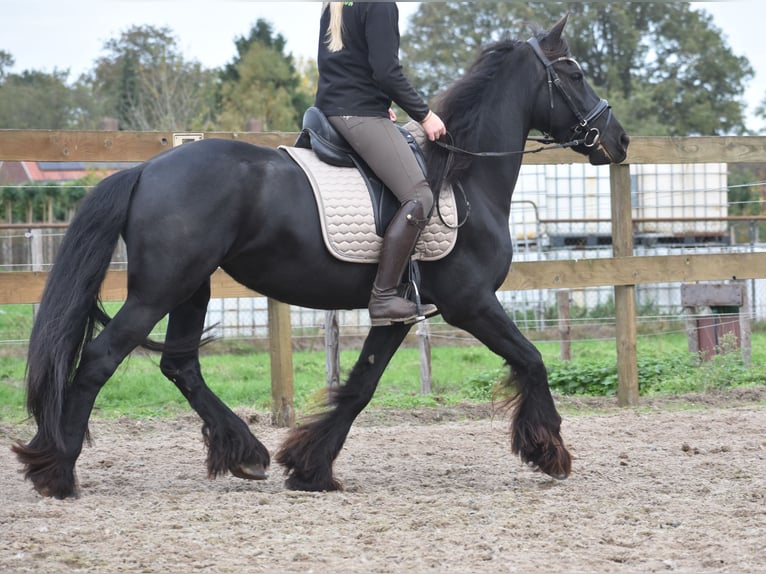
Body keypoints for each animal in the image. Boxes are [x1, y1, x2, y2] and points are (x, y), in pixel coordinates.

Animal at [13, 16, 629, 498]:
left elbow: (360, 386)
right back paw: (57, 471)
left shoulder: (398, 312)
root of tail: (145, 170)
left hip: (192, 287)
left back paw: (246, 453)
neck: (464, 175)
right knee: (100, 359)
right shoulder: (471, 303)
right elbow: (533, 359)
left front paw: (310, 468)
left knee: (180, 364)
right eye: (574, 74)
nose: (618, 141)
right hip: (158, 290)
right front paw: (549, 450)